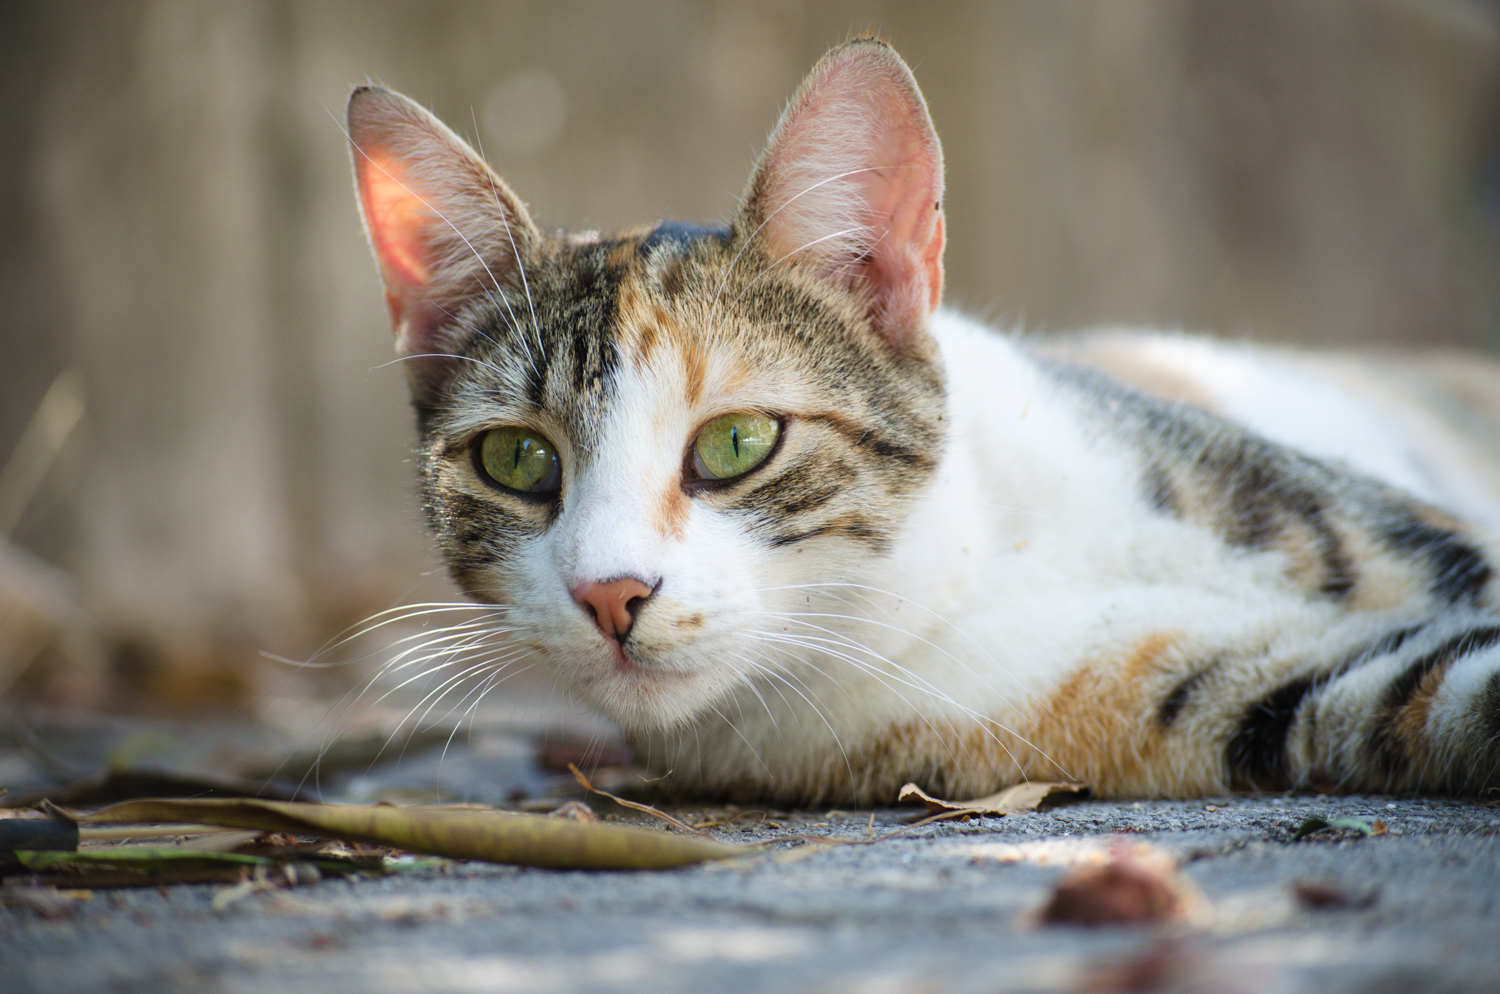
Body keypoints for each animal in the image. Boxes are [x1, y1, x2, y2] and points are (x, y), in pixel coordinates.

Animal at [345, 36, 1500, 809]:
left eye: (736, 442)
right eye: (515, 458)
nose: (609, 591)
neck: (955, 576)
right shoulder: (1221, 695)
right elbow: (1412, 692)